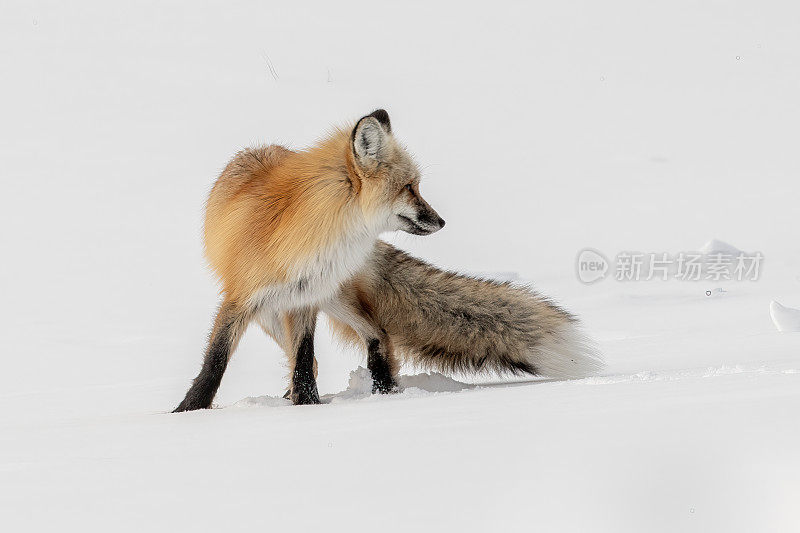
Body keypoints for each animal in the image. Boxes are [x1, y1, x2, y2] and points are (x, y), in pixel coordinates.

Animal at [173, 109, 600, 412]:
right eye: (409, 187)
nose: (441, 221)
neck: (313, 236)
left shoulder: (308, 298)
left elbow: (304, 359)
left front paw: (308, 408)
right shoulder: (243, 298)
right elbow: (216, 362)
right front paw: (187, 413)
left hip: (330, 297)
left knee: (378, 333)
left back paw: (385, 391)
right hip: (272, 313)